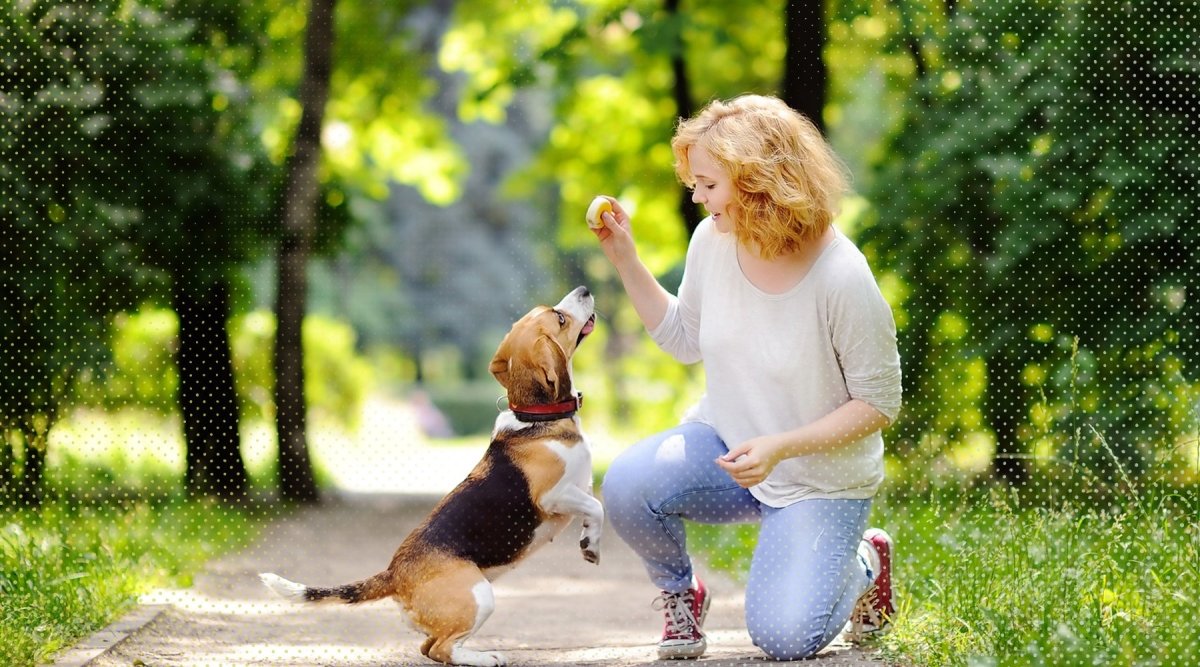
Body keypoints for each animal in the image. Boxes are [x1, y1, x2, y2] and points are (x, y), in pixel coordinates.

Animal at [260, 286, 600, 667]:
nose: (584, 290)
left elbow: (592, 508)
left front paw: (589, 541)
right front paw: (592, 545)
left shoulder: (580, 488)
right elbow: (597, 506)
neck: (536, 418)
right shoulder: (553, 495)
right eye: (559, 318)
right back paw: (486, 657)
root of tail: (394, 574)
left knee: (430, 648)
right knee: (441, 649)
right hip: (480, 596)